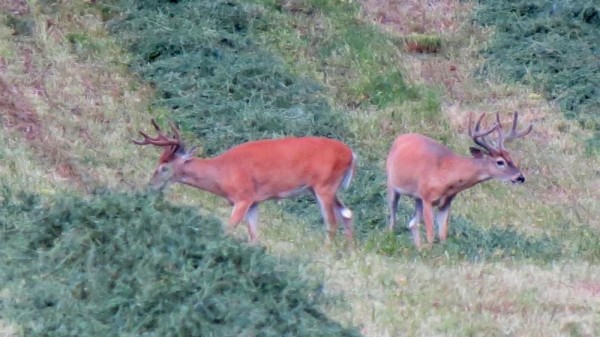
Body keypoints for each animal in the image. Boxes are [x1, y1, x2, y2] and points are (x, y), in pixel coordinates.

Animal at [132, 119, 356, 245]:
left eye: (164, 167)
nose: (150, 187)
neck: (222, 172)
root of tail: (352, 155)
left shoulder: (243, 197)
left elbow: (229, 228)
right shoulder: (255, 201)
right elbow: (254, 235)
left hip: (324, 186)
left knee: (332, 223)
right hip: (322, 188)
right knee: (347, 214)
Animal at [386, 111, 532, 245]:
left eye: (510, 157)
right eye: (500, 162)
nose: (520, 177)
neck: (448, 174)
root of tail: (400, 137)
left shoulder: (446, 201)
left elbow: (442, 235)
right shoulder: (427, 198)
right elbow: (431, 235)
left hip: (417, 198)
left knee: (412, 223)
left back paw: (418, 248)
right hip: (392, 185)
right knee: (393, 216)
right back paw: (391, 236)